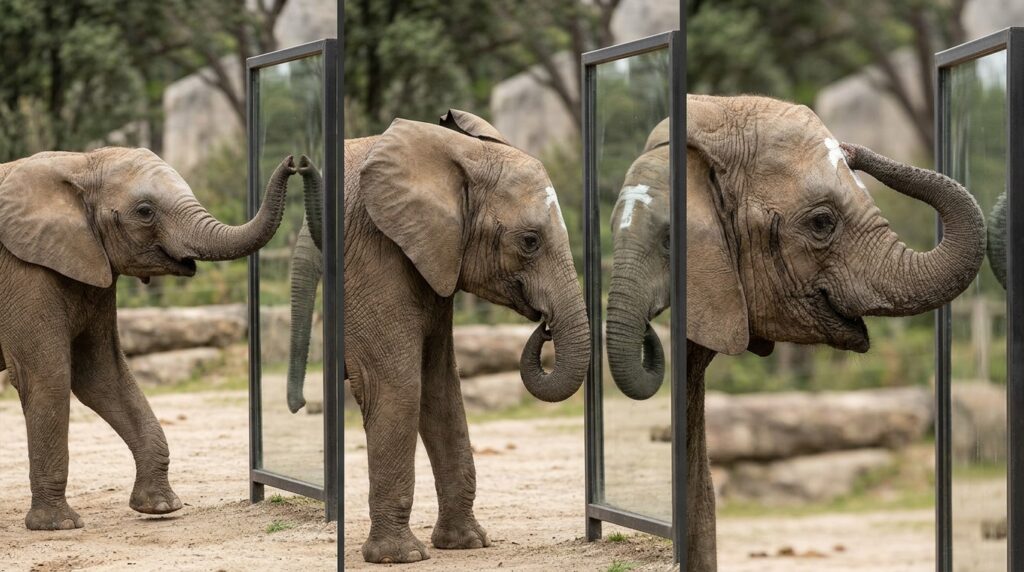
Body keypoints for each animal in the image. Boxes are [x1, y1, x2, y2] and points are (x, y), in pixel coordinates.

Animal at [0, 148, 296, 530]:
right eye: (144, 211)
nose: (296, 162)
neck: (79, 163)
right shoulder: (23, 272)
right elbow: (47, 377)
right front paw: (58, 525)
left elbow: (102, 375)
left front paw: (161, 508)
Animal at [287, 109, 589, 563]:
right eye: (530, 241)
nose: (545, 325)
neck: (458, 156)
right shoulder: (374, 251)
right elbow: (398, 385)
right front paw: (401, 557)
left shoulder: (437, 256)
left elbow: (440, 386)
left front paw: (468, 543)